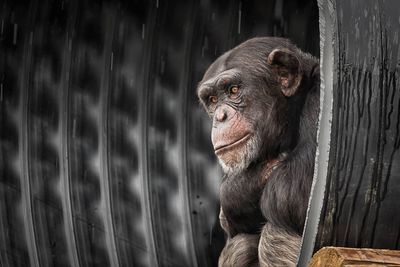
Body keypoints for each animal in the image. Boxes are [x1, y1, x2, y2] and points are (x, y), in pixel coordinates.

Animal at [197, 37, 318, 266]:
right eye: (213, 100)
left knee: (273, 234)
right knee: (240, 246)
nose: (220, 116)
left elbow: (292, 188)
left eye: (234, 90)